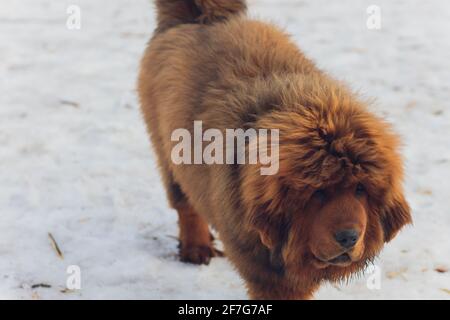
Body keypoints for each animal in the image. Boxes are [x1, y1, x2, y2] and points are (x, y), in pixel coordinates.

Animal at [137, 0, 412, 300]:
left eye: (361, 189)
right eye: (318, 193)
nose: (349, 237)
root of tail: (203, 18)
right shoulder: (268, 272)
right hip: (168, 150)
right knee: (185, 203)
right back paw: (196, 248)